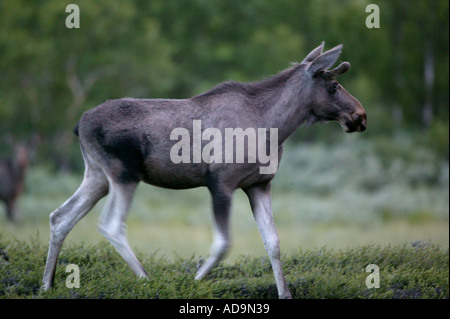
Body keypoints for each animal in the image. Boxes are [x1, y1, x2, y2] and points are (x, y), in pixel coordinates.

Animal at [42, 43, 366, 300]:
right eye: (334, 86)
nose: (360, 116)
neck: (275, 128)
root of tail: (79, 125)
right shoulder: (220, 182)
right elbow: (223, 243)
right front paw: (193, 282)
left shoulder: (259, 184)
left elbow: (272, 242)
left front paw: (285, 293)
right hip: (124, 174)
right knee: (110, 224)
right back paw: (146, 280)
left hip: (97, 176)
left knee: (61, 216)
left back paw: (47, 285)